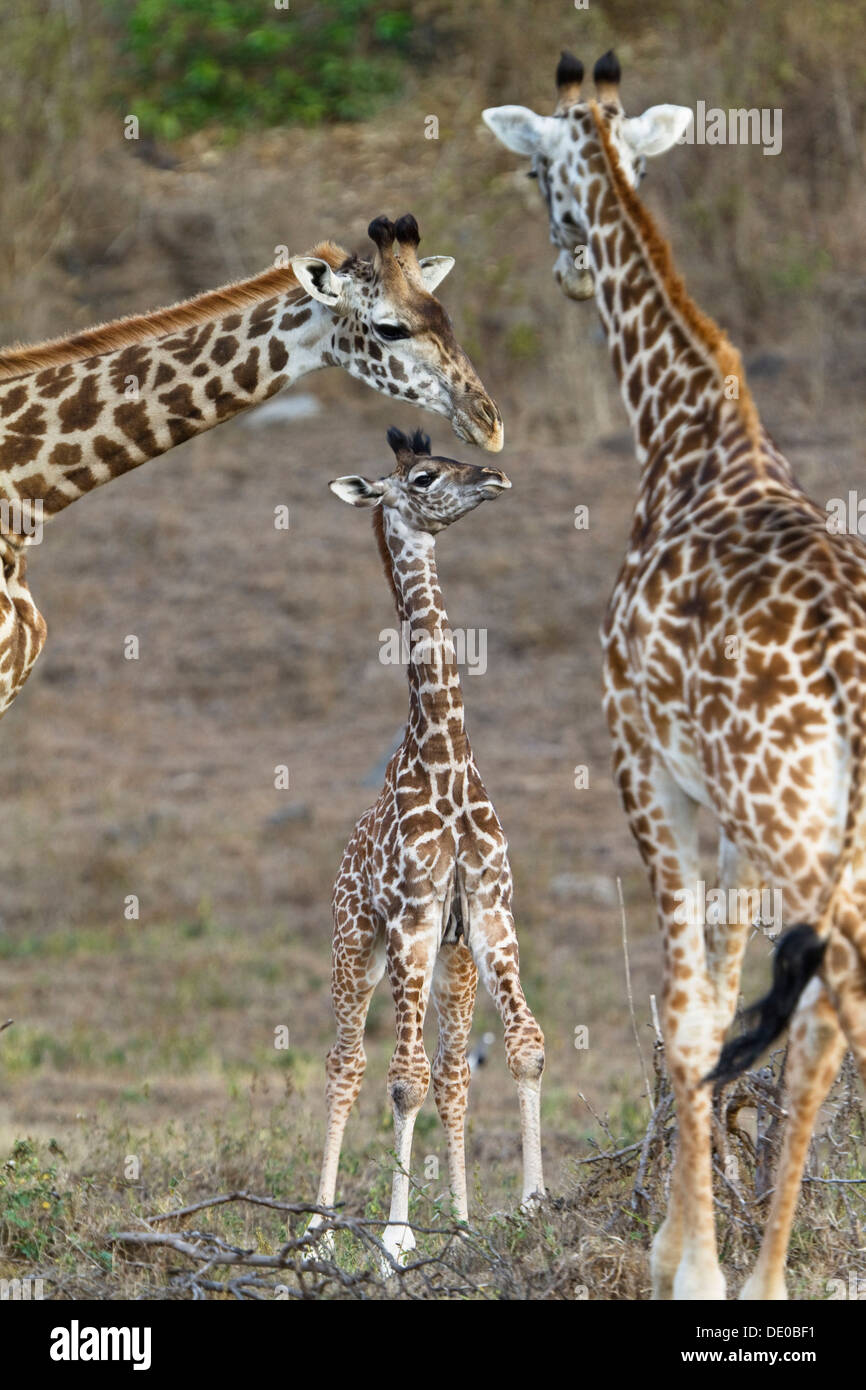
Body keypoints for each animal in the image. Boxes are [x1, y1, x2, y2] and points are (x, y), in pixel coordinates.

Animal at [309, 428, 542, 1267]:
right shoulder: (409, 919)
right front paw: (397, 1237)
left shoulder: (491, 912)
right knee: (346, 1063)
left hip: (454, 960)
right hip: (356, 945)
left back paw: (461, 1221)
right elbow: (402, 1078)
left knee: (452, 1074)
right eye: (423, 477)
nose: (497, 475)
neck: (444, 753)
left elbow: (522, 1047)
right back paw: (315, 1235)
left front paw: (527, 1207)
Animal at [483, 48, 861, 1295]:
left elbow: (687, 1012)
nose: (564, 269)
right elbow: (729, 994)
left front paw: (688, 1263)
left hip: (790, 811)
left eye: (534, 177)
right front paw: (687, 1244)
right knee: (820, 1014)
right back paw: (771, 1268)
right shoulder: (724, 808)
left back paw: (763, 1274)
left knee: (836, 997)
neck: (684, 431)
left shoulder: (644, 764)